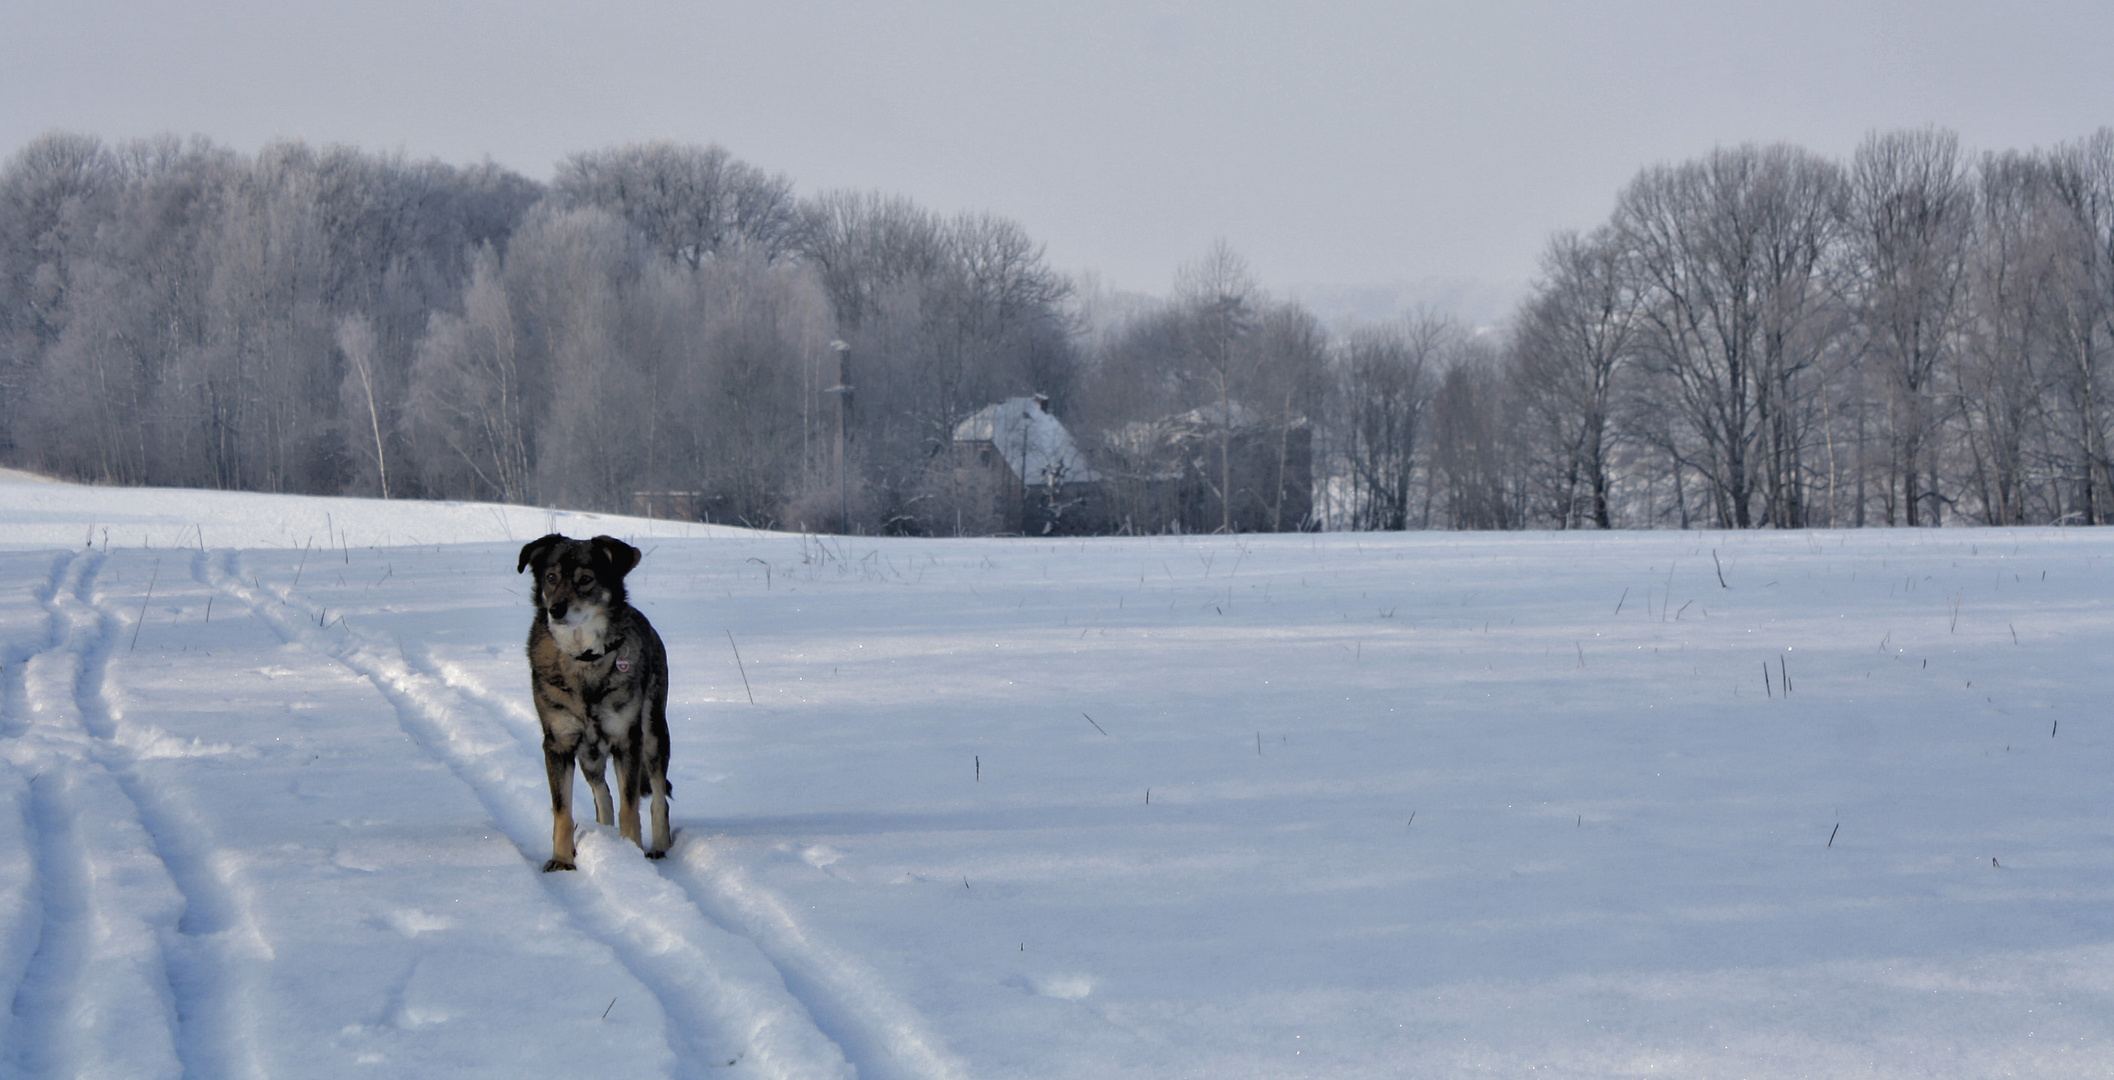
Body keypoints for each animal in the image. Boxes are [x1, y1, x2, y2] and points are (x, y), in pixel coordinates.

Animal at [513, 536, 668, 874]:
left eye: (585, 579)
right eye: (551, 577)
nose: (556, 609)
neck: (584, 657)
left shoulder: (627, 740)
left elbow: (630, 806)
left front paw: (631, 856)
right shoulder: (559, 744)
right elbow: (563, 810)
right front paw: (562, 860)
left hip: (653, 735)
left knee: (658, 794)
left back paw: (660, 846)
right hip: (590, 755)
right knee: (602, 793)